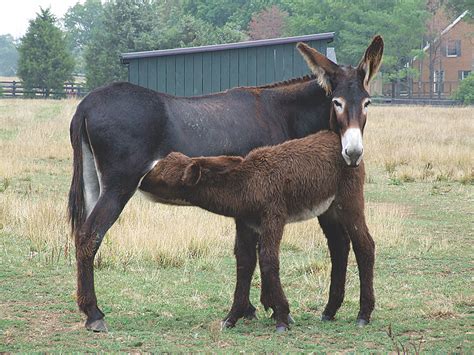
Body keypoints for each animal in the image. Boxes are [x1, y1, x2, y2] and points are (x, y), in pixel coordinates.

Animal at [139, 131, 376, 334]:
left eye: (165, 178)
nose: (141, 181)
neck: (248, 184)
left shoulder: (274, 217)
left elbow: (268, 260)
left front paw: (282, 317)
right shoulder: (245, 224)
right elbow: (244, 263)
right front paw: (231, 318)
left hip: (349, 200)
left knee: (364, 245)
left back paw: (363, 314)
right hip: (328, 210)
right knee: (339, 246)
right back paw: (330, 310)